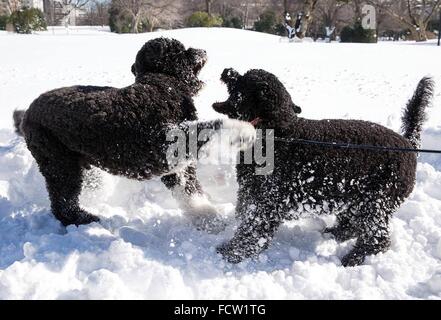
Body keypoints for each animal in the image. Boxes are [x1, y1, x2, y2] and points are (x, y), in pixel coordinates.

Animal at [12, 38, 254, 231]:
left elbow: (190, 193)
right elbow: (211, 127)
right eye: (181, 50)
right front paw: (243, 131)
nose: (202, 49)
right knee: (62, 202)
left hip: (80, 165)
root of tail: (28, 112)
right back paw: (84, 219)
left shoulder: (175, 166)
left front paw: (207, 219)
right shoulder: (164, 144)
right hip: (58, 162)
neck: (161, 84)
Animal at [214, 69, 434, 266]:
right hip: (355, 200)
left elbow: (252, 232)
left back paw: (354, 258)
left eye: (243, 79)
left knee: (377, 240)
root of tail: (409, 144)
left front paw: (232, 253)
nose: (227, 70)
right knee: (351, 226)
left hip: (375, 203)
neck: (276, 132)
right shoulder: (249, 192)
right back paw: (334, 234)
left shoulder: (267, 204)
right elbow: (243, 215)